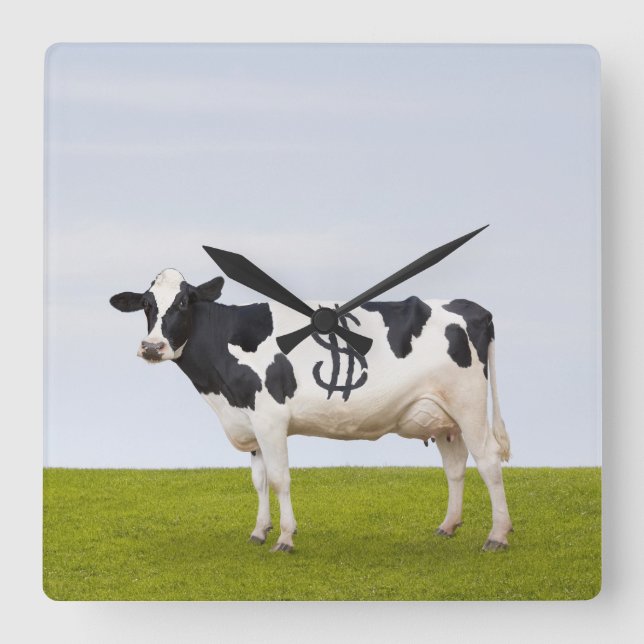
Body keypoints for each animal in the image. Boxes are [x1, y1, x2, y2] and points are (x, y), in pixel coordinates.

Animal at [110, 267, 512, 552]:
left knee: (489, 461)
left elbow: (279, 478)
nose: (152, 346)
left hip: (469, 404)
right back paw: (448, 526)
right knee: (456, 467)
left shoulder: (270, 418)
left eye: (182, 303)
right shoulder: (250, 420)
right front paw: (259, 531)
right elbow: (258, 480)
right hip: (444, 417)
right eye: (146, 305)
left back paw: (498, 536)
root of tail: (472, 307)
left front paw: (285, 538)